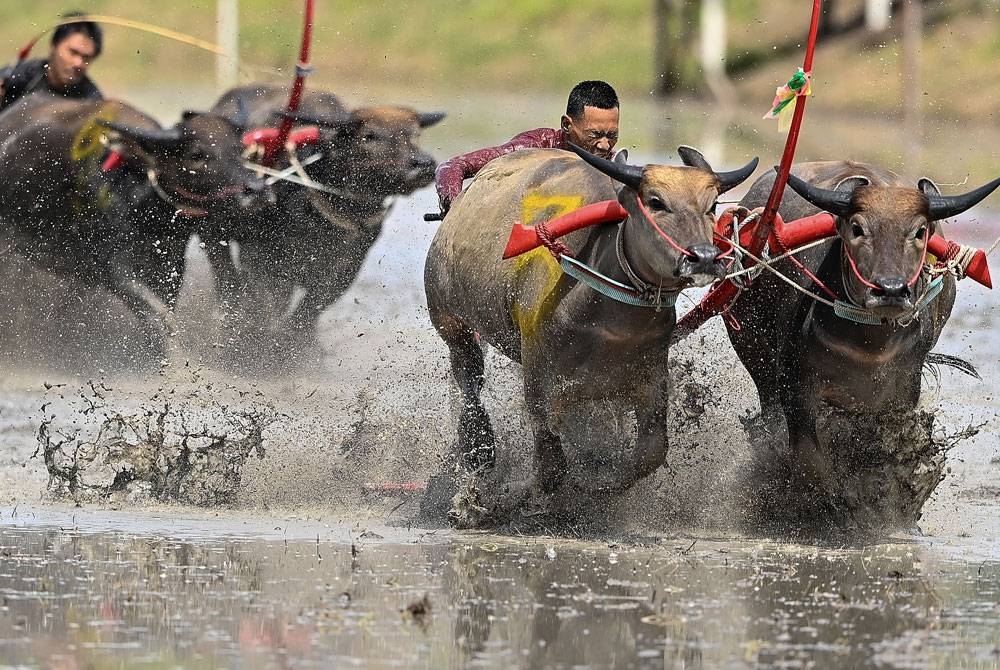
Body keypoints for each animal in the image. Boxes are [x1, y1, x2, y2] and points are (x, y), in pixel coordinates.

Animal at [0, 96, 258, 362]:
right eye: (197, 154)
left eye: (239, 150)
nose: (256, 191)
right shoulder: (116, 270)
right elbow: (159, 317)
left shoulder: (171, 265)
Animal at [205, 82, 444, 352]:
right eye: (370, 135)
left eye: (415, 134)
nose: (422, 163)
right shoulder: (261, 259)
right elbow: (264, 304)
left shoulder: (345, 268)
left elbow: (308, 310)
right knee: (225, 277)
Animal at [422, 146, 756, 524]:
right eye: (656, 201)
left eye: (711, 205)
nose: (704, 257)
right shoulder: (539, 383)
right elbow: (552, 468)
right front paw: (504, 500)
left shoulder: (651, 378)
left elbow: (650, 455)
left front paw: (597, 483)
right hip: (451, 321)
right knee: (469, 382)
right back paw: (478, 446)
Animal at [728, 161, 1000, 536]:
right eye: (857, 228)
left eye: (919, 231)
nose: (891, 290)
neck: (868, 346)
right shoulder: (795, 385)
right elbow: (810, 459)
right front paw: (832, 510)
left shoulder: (901, 391)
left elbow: (882, 453)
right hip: (756, 358)